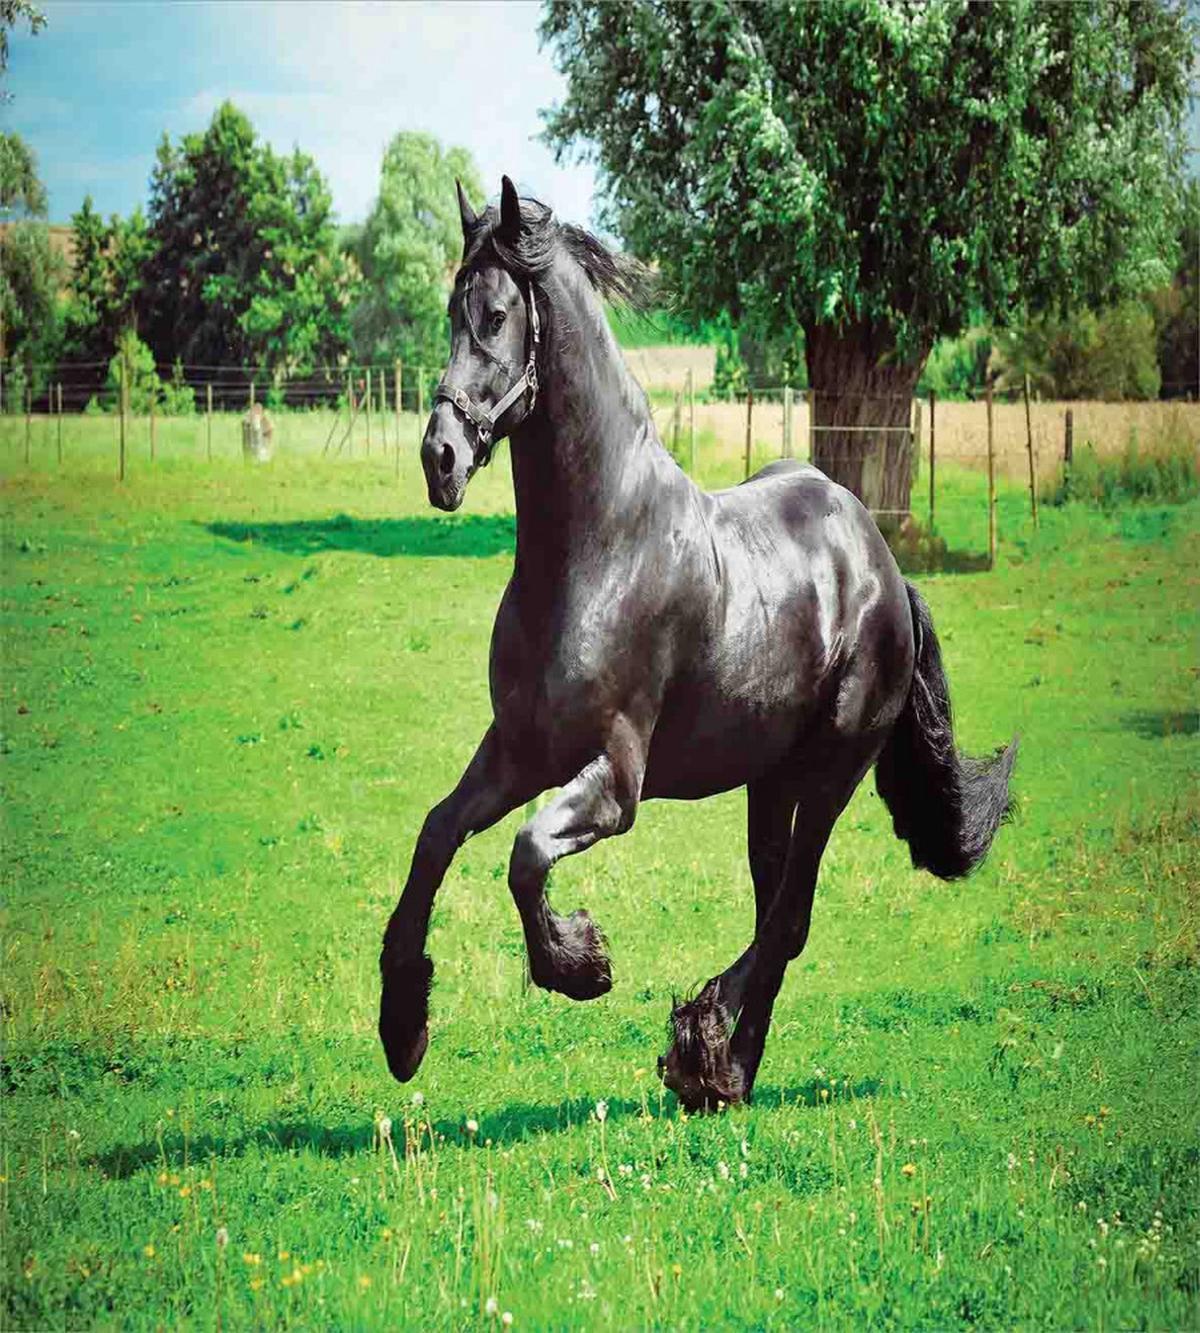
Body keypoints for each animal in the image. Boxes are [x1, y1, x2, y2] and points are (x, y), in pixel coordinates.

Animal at [378, 176, 1016, 1111]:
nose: (442, 457)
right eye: (448, 314)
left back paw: (703, 1047)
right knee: (777, 911)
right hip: (769, 783)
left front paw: (581, 963)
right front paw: (401, 1026)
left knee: (789, 918)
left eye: (494, 315)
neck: (596, 549)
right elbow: (435, 835)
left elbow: (526, 857)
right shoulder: (518, 753)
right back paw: (728, 1067)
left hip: (831, 774)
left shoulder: (615, 783)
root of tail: (884, 568)